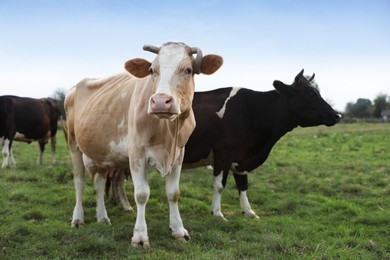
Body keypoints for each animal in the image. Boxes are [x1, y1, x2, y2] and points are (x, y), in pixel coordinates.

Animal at [64, 41, 222, 247]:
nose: (160, 101)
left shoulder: (179, 154)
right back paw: (77, 218)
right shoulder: (136, 154)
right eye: (152, 70)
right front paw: (140, 236)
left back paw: (102, 217)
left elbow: (173, 193)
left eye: (188, 70)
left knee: (99, 182)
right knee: (79, 181)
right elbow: (141, 194)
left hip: (103, 153)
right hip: (73, 143)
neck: (167, 132)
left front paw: (179, 230)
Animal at [110, 69, 342, 219]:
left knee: (115, 179)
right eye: (310, 94)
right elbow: (219, 185)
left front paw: (249, 211)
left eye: (317, 92)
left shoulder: (242, 157)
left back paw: (121, 205)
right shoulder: (223, 152)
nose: (336, 115)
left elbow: (243, 184)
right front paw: (217, 213)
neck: (254, 112)